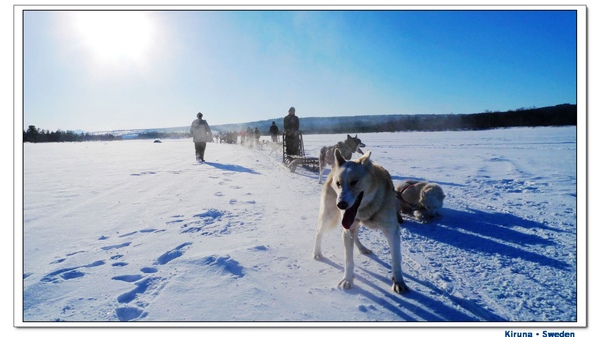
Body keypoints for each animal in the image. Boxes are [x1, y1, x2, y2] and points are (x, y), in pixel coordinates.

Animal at [314, 148, 408, 292]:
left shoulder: (392, 232)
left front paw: (399, 282)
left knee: (355, 235)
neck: (370, 206)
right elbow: (348, 261)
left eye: (354, 182)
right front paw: (347, 280)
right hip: (328, 216)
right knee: (319, 232)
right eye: (338, 183)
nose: (341, 204)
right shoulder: (347, 230)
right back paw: (317, 253)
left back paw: (362, 248)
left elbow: (396, 260)